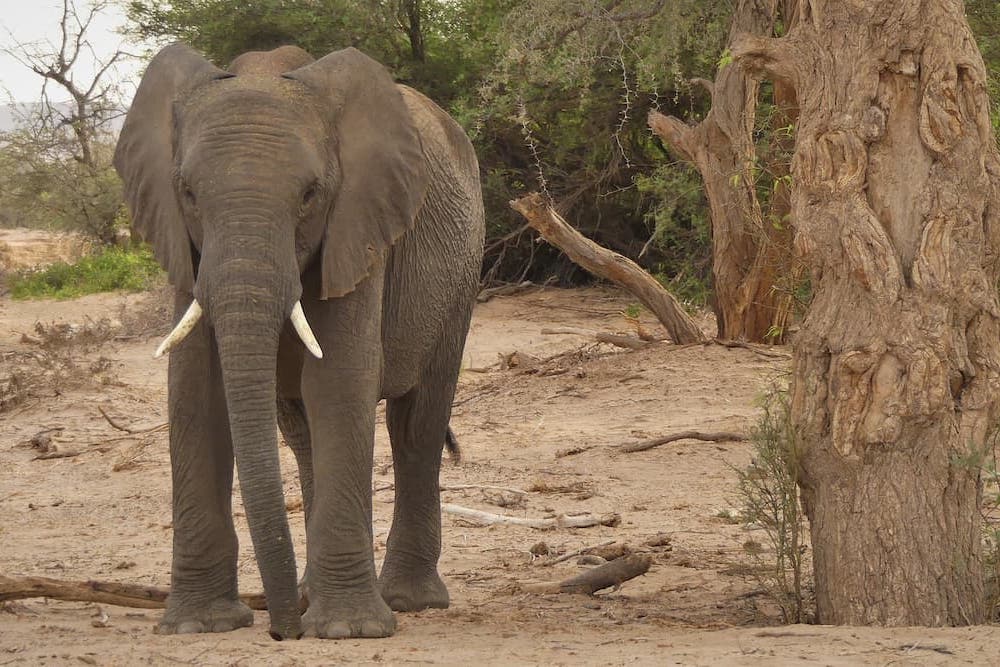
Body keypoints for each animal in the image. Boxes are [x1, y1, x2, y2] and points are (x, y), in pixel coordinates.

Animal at [113, 43, 485, 640]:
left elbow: (338, 381)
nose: (280, 631)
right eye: (188, 193)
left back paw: (406, 602)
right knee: (302, 433)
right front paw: (198, 626)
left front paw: (348, 632)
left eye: (310, 195)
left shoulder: (358, 226)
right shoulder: (185, 248)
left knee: (416, 425)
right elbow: (195, 391)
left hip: (461, 274)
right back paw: (315, 593)